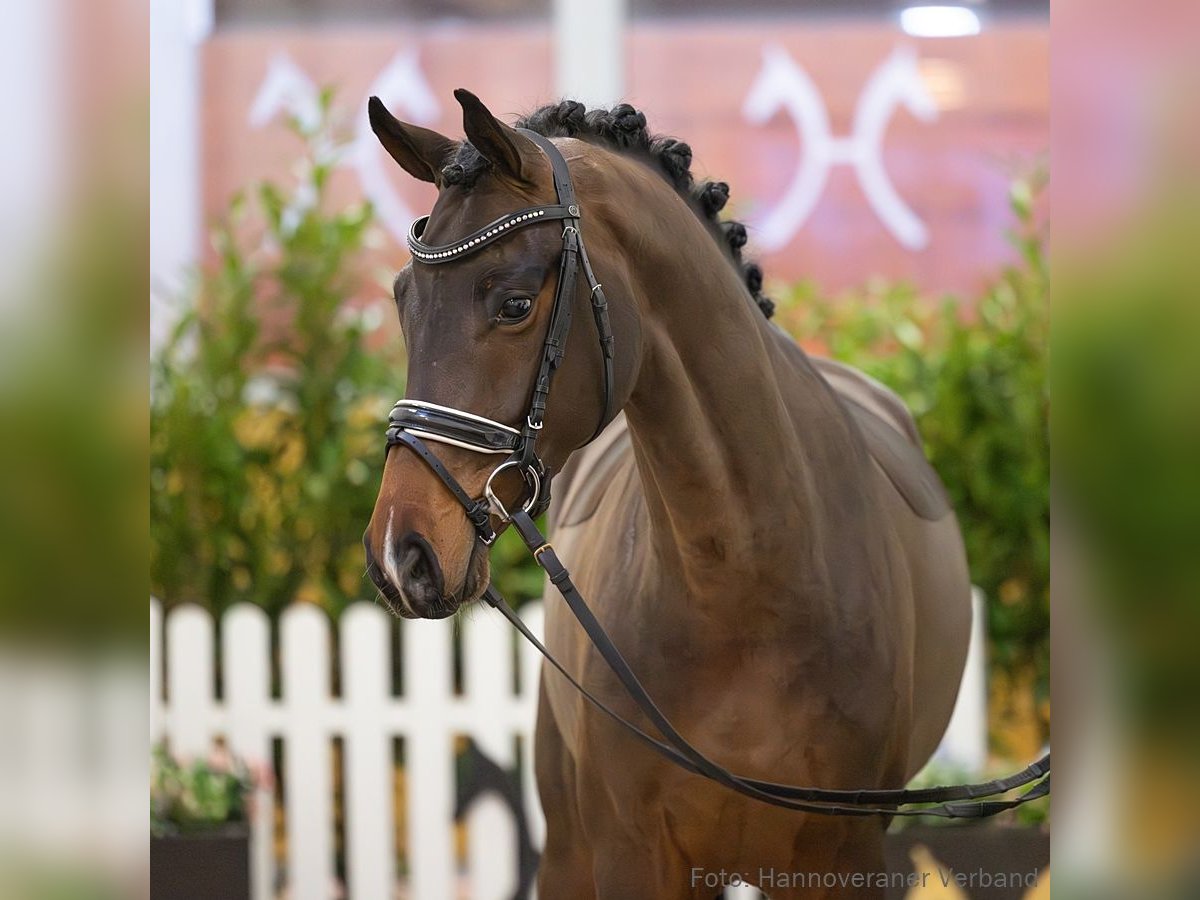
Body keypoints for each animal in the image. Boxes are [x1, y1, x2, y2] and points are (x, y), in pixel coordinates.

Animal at [362, 90, 971, 899]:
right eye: (403, 301)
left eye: (515, 304)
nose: (402, 554)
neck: (742, 579)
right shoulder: (633, 851)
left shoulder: (845, 859)